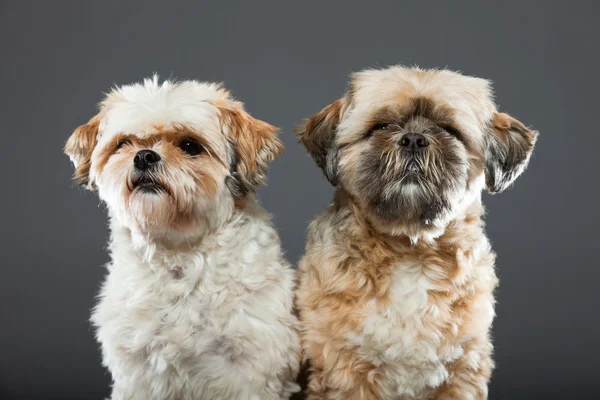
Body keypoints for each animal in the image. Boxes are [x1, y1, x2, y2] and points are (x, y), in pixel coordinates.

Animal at [65, 76, 300, 398]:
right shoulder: (137, 373)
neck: (179, 255)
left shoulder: (250, 370)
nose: (144, 156)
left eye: (190, 145)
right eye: (123, 144)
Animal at [296, 66, 540, 400]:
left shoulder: (463, 368)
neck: (410, 249)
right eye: (382, 125)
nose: (413, 139)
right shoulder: (344, 369)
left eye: (449, 130)